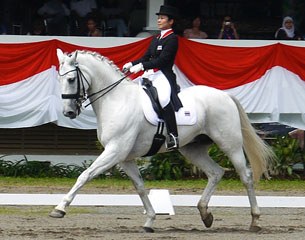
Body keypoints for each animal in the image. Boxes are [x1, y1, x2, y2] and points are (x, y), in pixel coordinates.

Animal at [50, 48, 274, 232]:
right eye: (59, 80)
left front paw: (60, 208)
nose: (69, 112)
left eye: (71, 79)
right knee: (215, 172)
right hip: (193, 148)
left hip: (230, 144)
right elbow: (140, 187)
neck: (116, 99)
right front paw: (150, 220)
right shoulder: (124, 157)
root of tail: (225, 95)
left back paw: (255, 220)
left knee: (245, 176)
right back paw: (205, 214)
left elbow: (85, 175)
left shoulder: (115, 151)